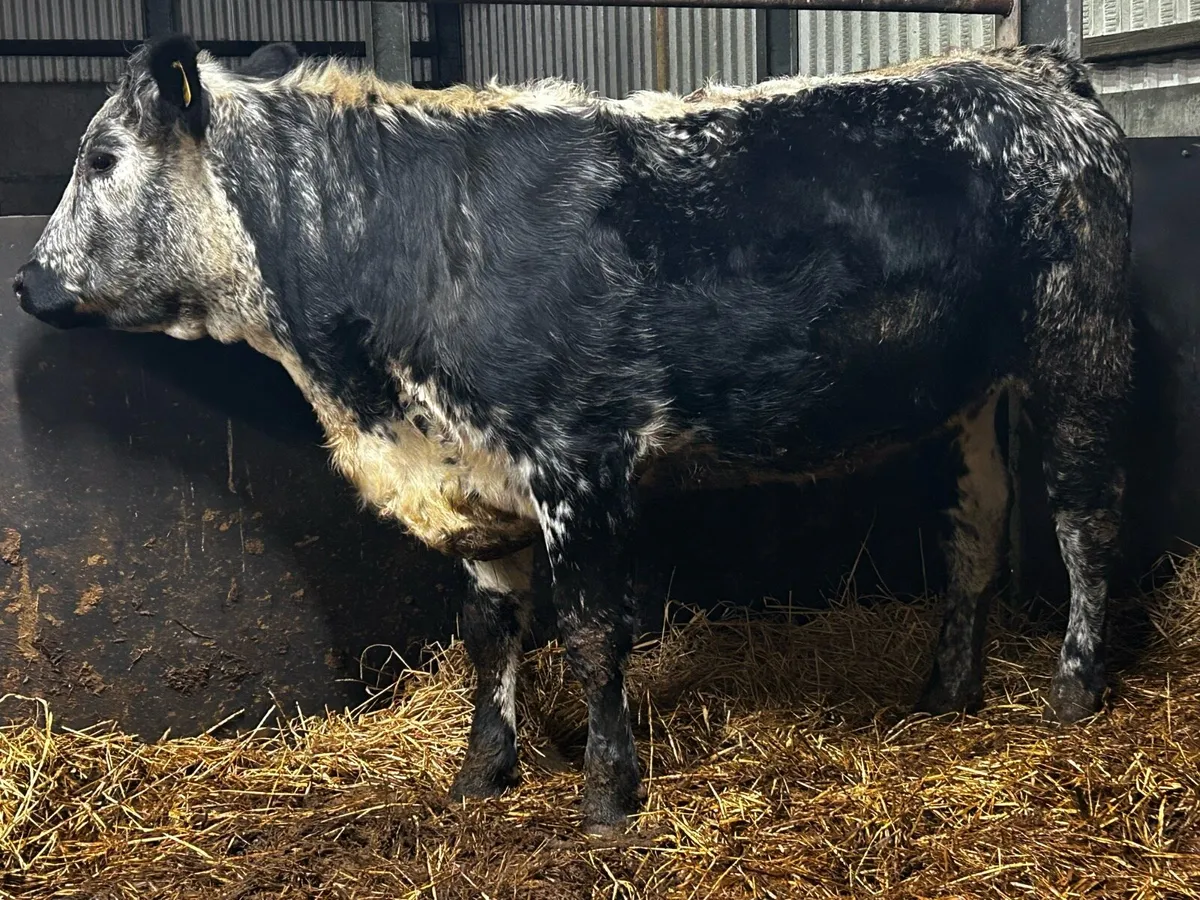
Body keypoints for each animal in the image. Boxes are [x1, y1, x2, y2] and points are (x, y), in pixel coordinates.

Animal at [12, 34, 1133, 832]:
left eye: (103, 156)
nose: (25, 282)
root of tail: (1034, 65)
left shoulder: (578, 460)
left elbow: (594, 633)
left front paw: (606, 790)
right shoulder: (471, 472)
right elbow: (489, 631)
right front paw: (482, 771)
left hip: (1079, 347)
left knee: (1085, 524)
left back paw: (1074, 689)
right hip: (972, 396)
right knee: (976, 532)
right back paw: (947, 690)